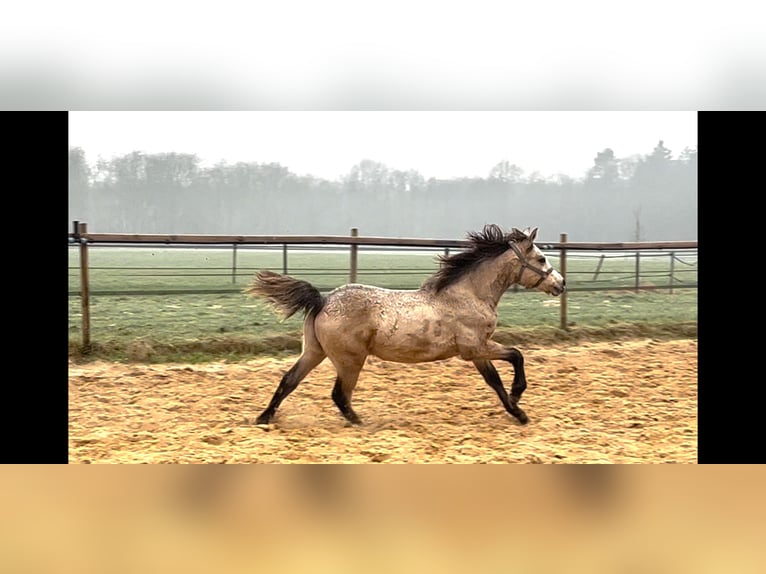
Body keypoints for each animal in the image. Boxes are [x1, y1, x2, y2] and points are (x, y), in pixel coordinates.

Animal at [246, 225, 564, 428]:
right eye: (541, 258)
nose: (560, 284)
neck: (469, 294)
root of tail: (323, 300)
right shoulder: (476, 348)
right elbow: (516, 355)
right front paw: (518, 397)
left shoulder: (476, 353)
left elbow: (494, 381)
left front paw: (517, 413)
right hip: (349, 360)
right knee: (339, 394)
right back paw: (361, 423)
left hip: (315, 352)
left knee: (289, 380)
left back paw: (263, 419)